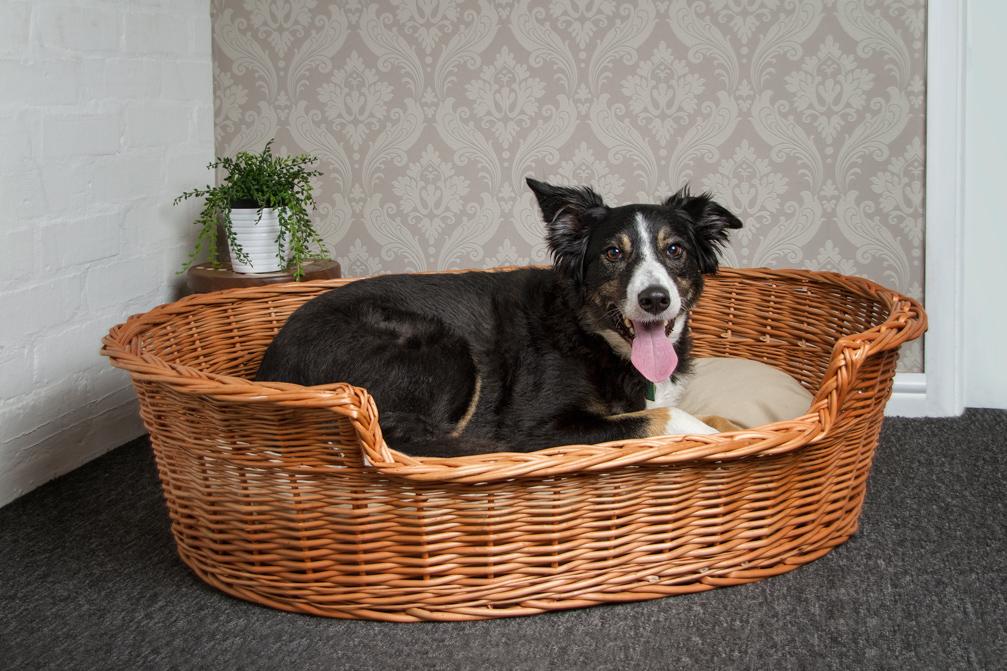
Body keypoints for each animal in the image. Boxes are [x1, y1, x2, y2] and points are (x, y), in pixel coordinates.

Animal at [255, 177, 745, 455]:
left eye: (675, 250)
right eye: (612, 253)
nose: (655, 299)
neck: (596, 338)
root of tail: (268, 368)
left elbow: (712, 417)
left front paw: (735, 427)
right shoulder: (537, 425)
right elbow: (666, 418)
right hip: (442, 350)